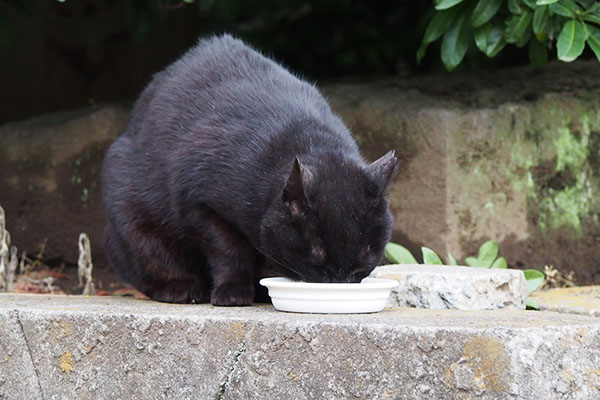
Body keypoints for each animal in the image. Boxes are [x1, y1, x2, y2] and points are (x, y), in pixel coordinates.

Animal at [101, 34, 396, 304]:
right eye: (317, 256)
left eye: (366, 257)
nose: (339, 280)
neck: (310, 141)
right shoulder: (202, 206)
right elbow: (230, 252)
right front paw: (232, 292)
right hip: (131, 212)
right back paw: (181, 288)